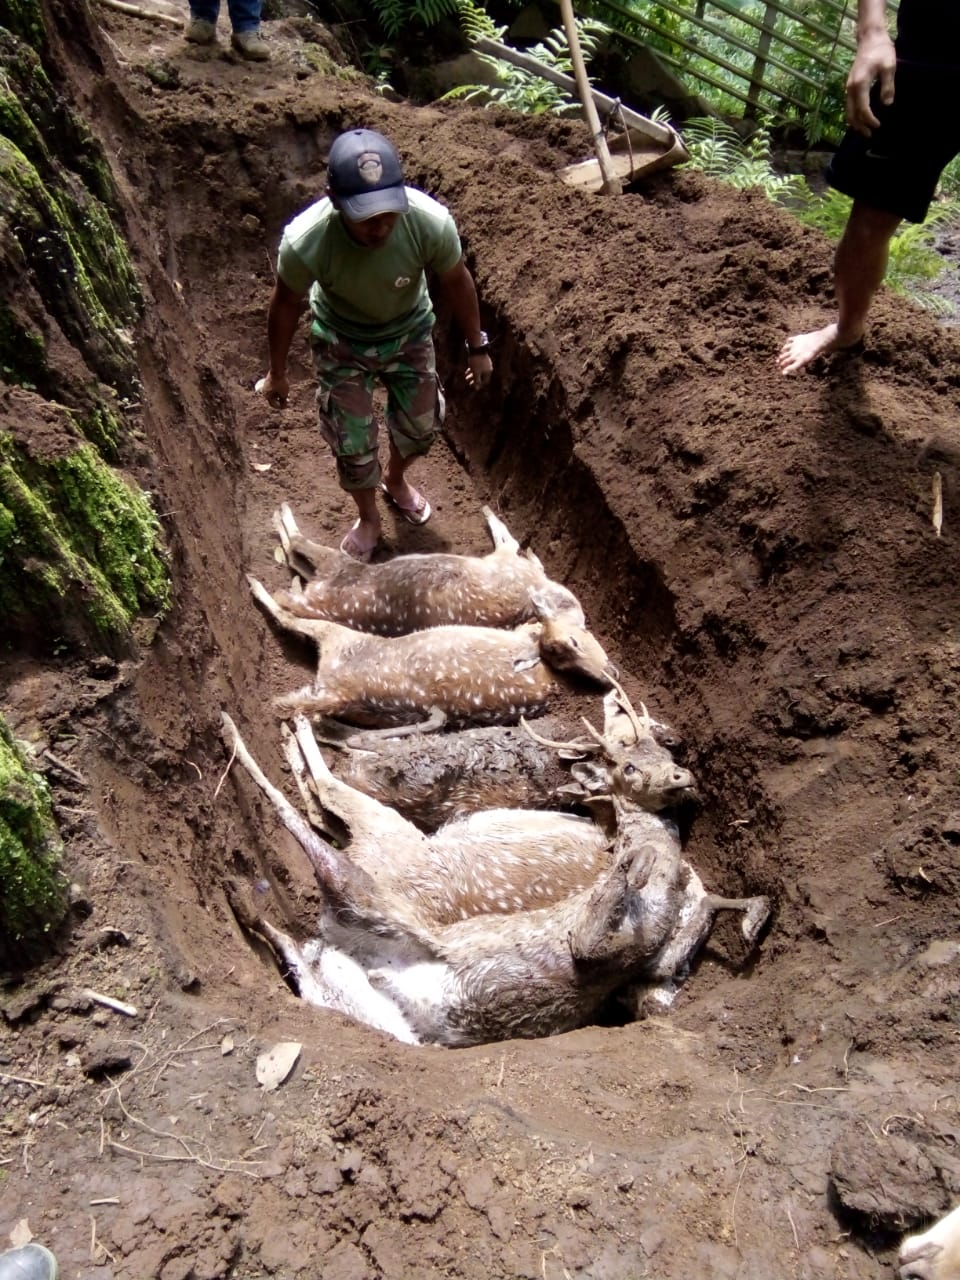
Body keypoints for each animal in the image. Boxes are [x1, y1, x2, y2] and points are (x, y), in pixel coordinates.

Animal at [248, 576, 619, 727]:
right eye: (576, 638)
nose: (611, 672)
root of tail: (338, 693)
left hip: (341, 639)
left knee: (287, 619)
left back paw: (258, 584)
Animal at [267, 501, 591, 637]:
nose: (584, 624)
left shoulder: (507, 561)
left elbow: (509, 540)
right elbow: (509, 540)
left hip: (335, 568)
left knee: (296, 551)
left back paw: (279, 512)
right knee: (295, 562)